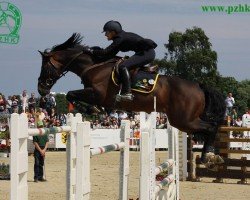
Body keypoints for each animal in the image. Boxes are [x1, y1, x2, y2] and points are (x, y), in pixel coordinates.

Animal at [37, 33, 227, 170]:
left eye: (45, 66)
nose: (41, 89)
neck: (94, 66)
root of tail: (198, 86)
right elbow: (72, 96)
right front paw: (95, 110)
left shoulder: (98, 94)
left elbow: (71, 95)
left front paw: (93, 110)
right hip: (182, 121)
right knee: (210, 127)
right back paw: (211, 156)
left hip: (184, 120)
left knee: (211, 127)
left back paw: (208, 157)